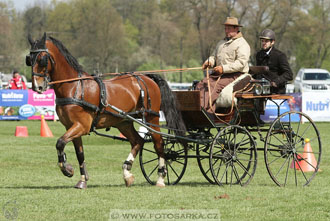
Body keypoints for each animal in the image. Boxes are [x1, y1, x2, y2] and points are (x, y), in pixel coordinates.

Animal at [27, 32, 186, 188]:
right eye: (29, 59)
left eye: (42, 59)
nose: (37, 86)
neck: (74, 87)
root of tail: (146, 78)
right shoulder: (71, 127)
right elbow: (79, 153)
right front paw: (82, 180)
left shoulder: (81, 126)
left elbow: (60, 142)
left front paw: (67, 169)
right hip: (123, 122)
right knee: (138, 141)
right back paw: (127, 173)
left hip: (151, 118)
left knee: (159, 144)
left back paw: (160, 178)